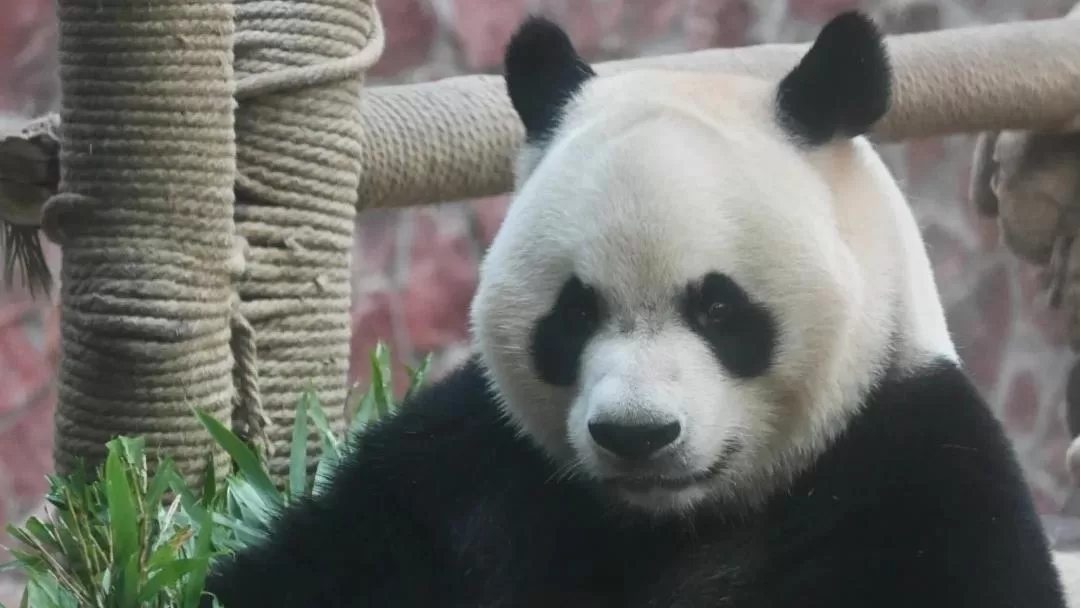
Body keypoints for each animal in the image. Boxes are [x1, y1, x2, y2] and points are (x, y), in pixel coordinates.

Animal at [202, 11, 1069, 608]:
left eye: (719, 309)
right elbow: (318, 563)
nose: (636, 435)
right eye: (573, 315)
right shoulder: (473, 464)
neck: (675, 519)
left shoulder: (911, 465)